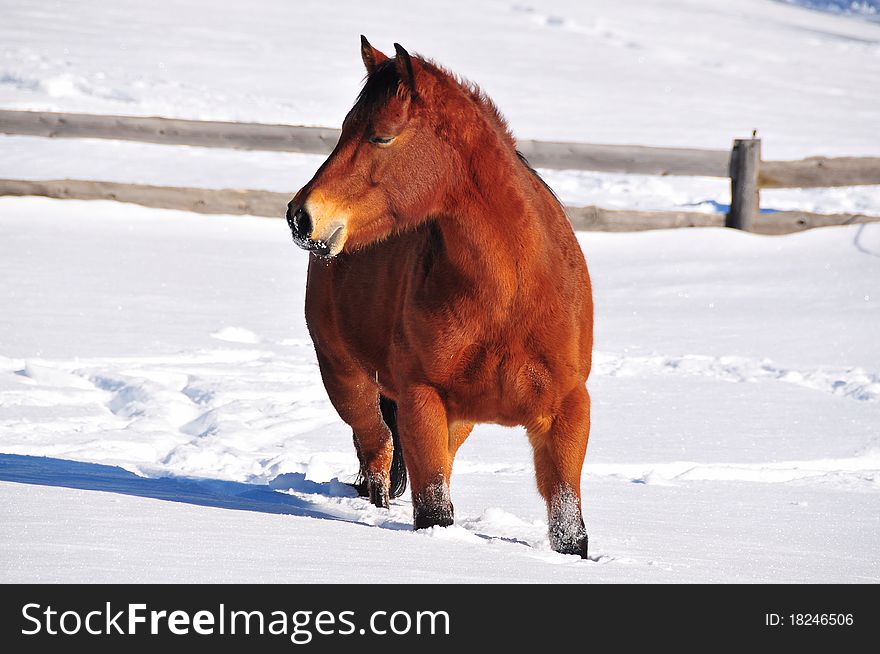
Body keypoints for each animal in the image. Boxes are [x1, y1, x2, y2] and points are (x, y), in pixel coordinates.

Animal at [286, 37, 596, 560]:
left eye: (381, 137)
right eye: (345, 130)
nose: (301, 216)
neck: (511, 298)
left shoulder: (565, 412)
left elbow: (569, 533)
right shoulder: (422, 401)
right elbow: (434, 512)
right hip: (346, 380)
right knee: (377, 449)